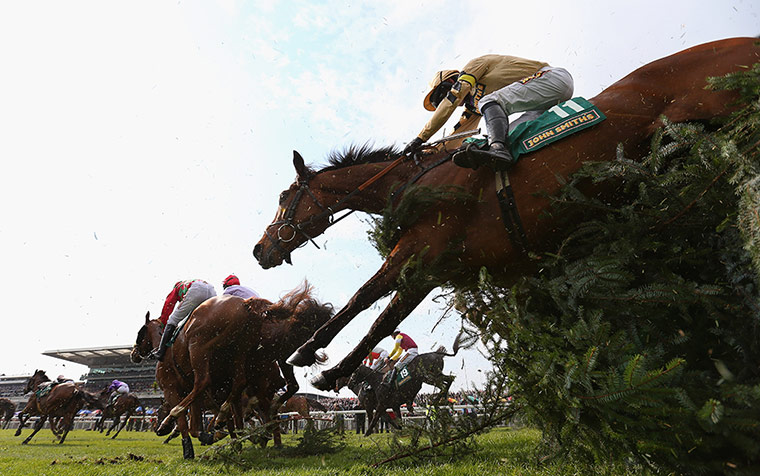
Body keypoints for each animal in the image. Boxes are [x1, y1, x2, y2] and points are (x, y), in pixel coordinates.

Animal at [252, 37, 760, 392]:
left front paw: (310, 357)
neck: (417, 182)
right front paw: (331, 369)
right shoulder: (434, 268)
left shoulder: (417, 252)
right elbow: (384, 317)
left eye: (284, 195)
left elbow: (364, 302)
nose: (260, 249)